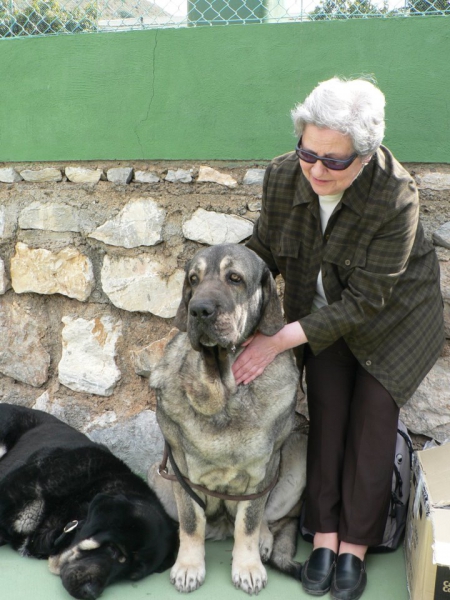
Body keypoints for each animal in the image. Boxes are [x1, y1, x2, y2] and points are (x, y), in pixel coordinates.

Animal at [149, 244, 308, 596]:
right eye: (193, 280)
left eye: (234, 278)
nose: (199, 310)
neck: (223, 391)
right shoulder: (180, 468)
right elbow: (191, 523)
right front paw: (189, 566)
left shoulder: (262, 470)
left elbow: (248, 523)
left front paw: (248, 567)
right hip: (157, 475)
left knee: (273, 519)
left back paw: (264, 539)